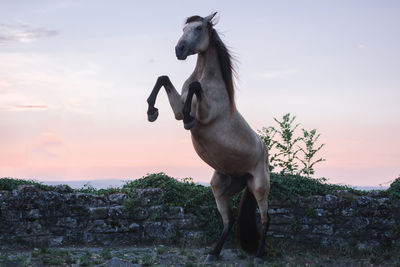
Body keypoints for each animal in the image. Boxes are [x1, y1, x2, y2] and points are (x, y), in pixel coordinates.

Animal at [145, 12, 270, 264]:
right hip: (220, 187)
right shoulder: (176, 108)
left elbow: (194, 88)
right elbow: (163, 78)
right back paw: (214, 252)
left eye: (199, 28)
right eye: (184, 28)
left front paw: (188, 120)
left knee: (265, 219)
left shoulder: (206, 112)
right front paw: (151, 112)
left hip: (261, 186)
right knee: (228, 220)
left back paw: (259, 255)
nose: (179, 49)